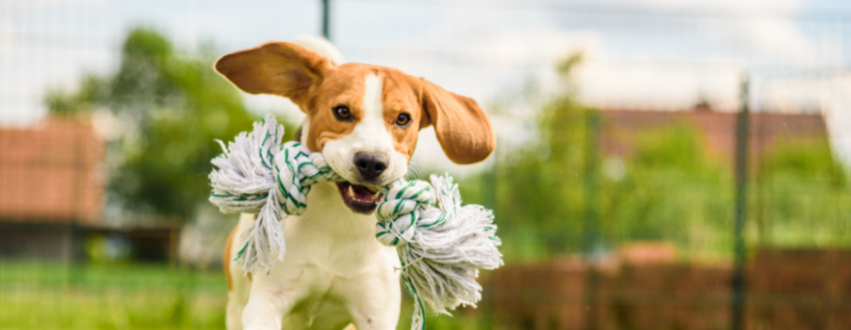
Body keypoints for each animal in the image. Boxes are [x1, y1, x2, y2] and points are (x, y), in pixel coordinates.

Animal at [216, 39, 496, 330]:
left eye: (403, 118)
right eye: (342, 111)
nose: (372, 162)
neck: (339, 226)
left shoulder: (376, 313)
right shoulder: (267, 300)